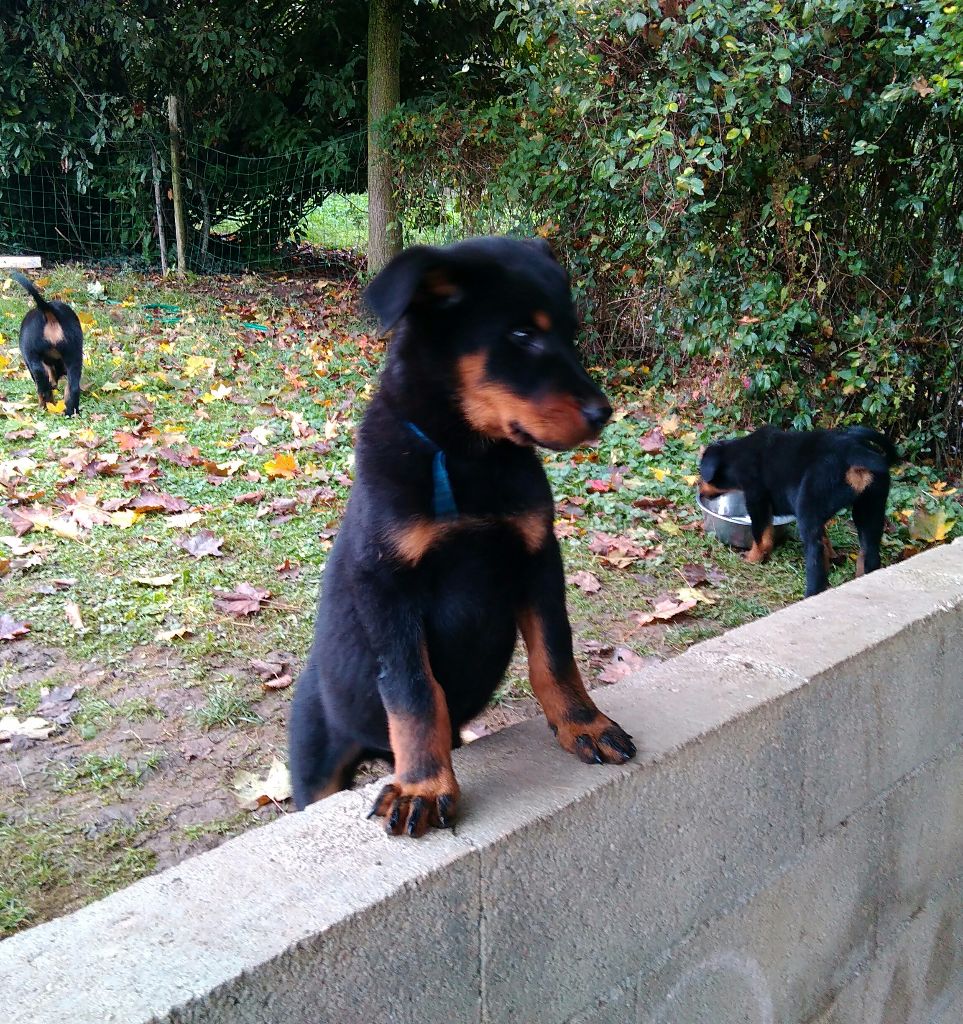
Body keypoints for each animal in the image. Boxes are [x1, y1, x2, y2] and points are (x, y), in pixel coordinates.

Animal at [11, 272, 84, 416]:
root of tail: (48, 311)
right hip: (74, 354)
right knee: (73, 387)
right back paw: (71, 412)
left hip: (33, 357)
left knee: (43, 388)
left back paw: (44, 407)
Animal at [289, 236, 636, 836]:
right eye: (520, 334)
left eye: (570, 332)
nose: (603, 413)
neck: (466, 457)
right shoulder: (388, 584)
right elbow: (415, 691)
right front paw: (423, 788)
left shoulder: (537, 556)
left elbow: (555, 654)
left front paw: (584, 725)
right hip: (316, 759)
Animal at [699, 425, 899, 597]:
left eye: (701, 474)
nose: (700, 491)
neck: (737, 456)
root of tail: (855, 453)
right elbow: (826, 537)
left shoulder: (757, 499)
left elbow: (761, 536)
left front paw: (752, 558)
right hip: (871, 508)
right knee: (868, 551)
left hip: (808, 507)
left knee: (816, 556)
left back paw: (812, 593)